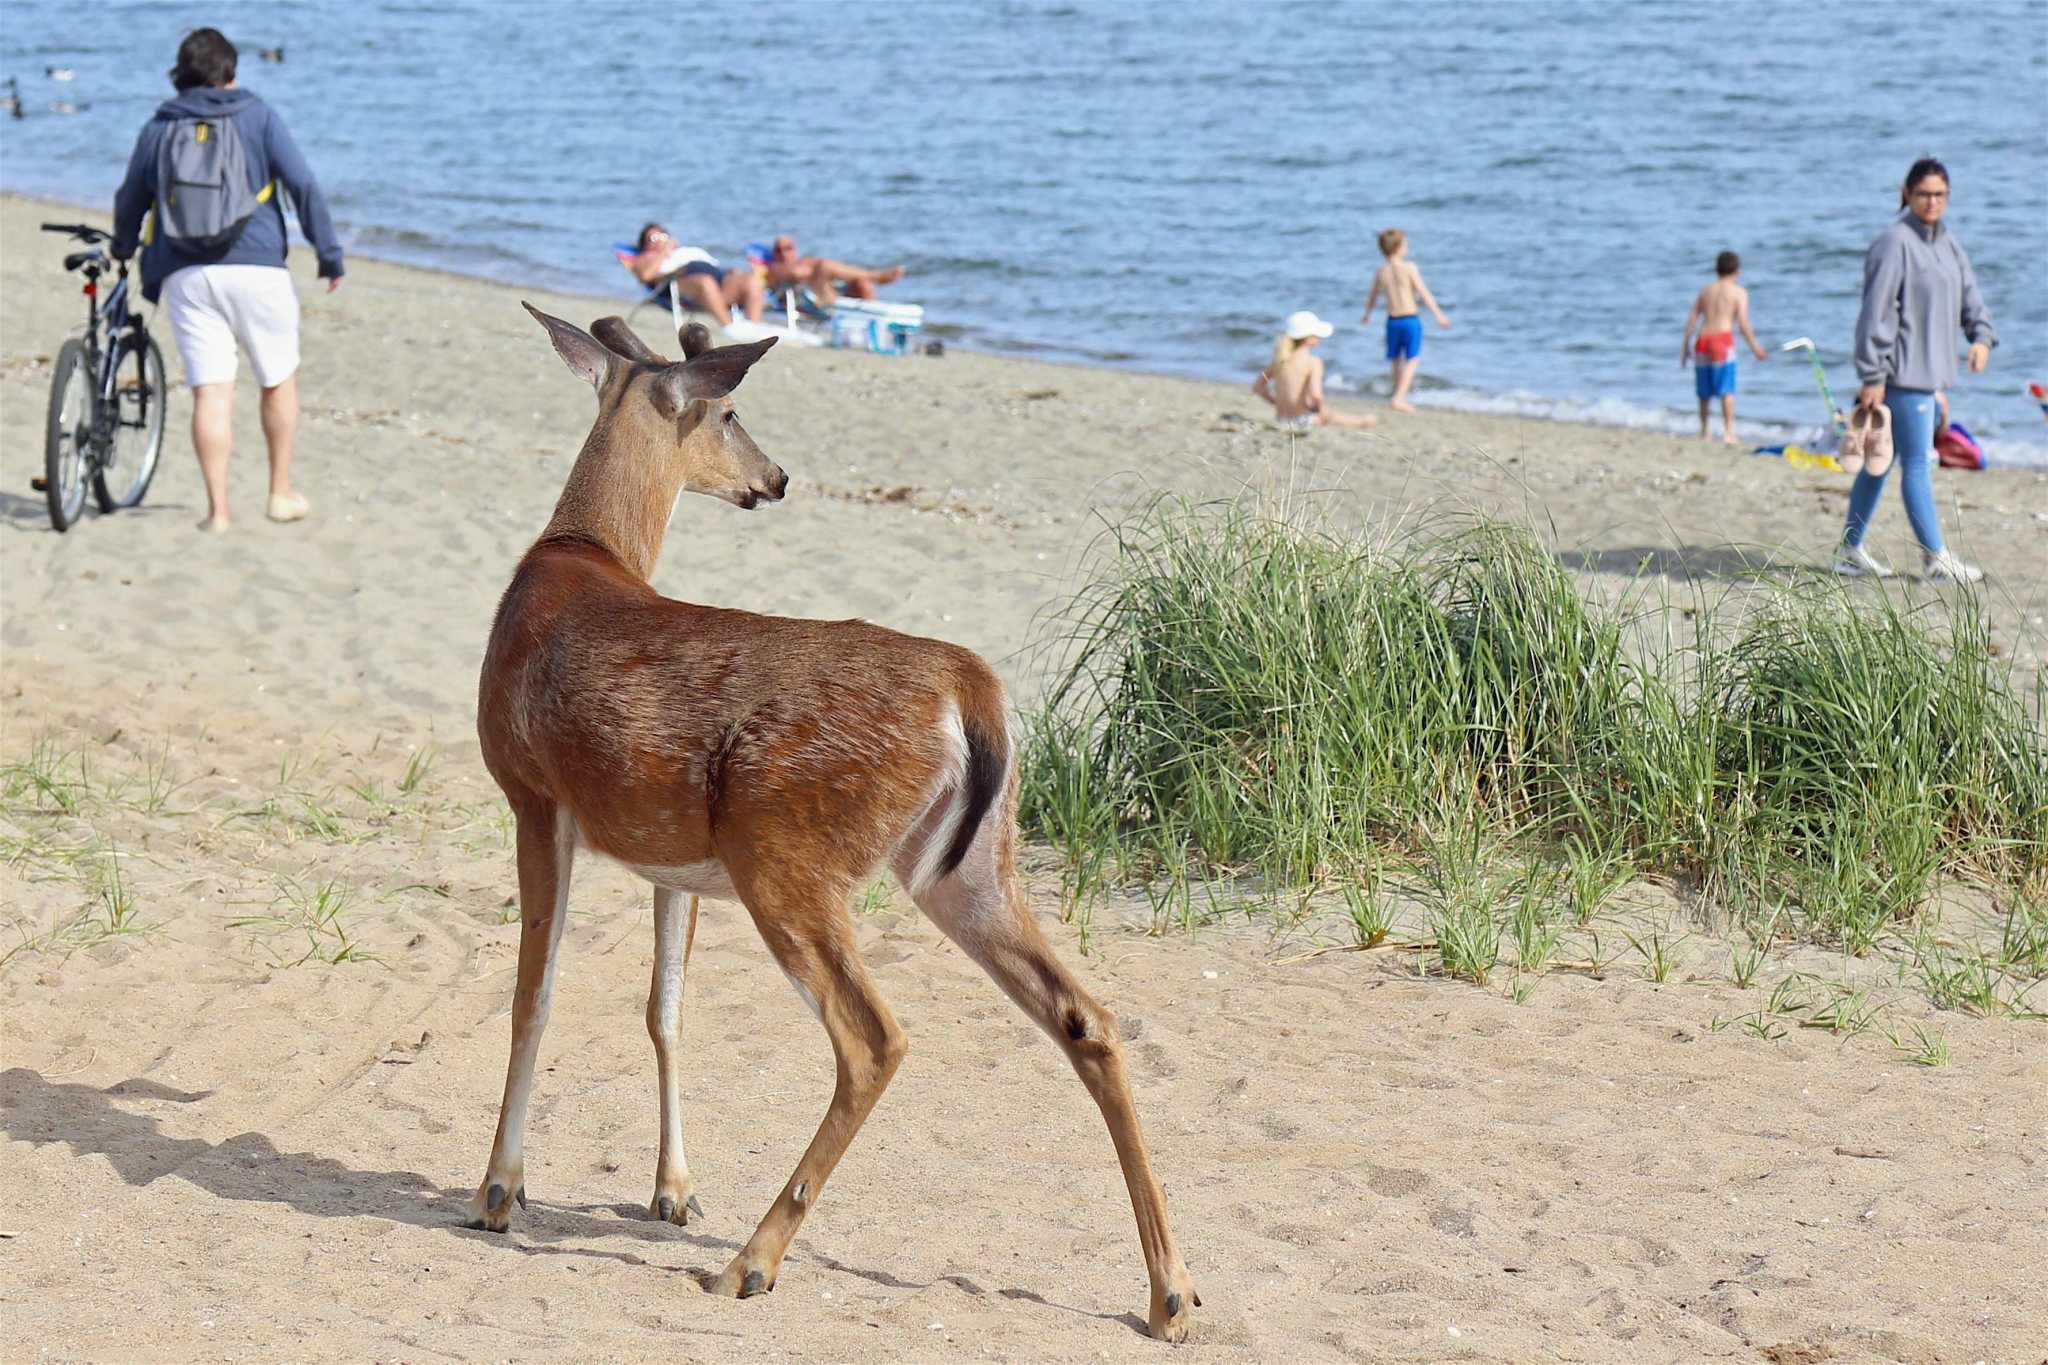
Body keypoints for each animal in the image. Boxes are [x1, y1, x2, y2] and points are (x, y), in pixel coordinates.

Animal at [463, 303, 1200, 1342]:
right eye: (733, 413)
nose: (774, 477)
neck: (581, 555)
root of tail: (969, 686)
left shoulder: (533, 795)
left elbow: (535, 995)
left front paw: (499, 1189)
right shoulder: (667, 854)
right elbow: (663, 1008)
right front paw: (671, 1189)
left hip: (786, 852)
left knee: (875, 1037)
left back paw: (750, 1261)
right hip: (965, 866)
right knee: (1085, 1014)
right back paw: (1170, 1290)